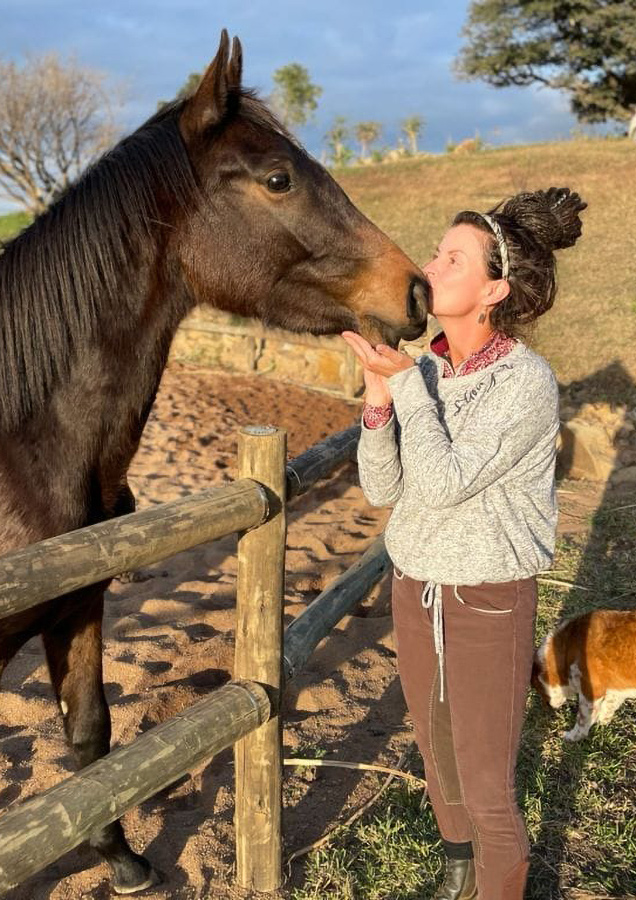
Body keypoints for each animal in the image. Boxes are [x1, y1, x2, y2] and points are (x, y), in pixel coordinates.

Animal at [0, 30, 427, 894]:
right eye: (277, 178)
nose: (416, 290)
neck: (19, 444)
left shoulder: (77, 605)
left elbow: (91, 734)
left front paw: (123, 860)